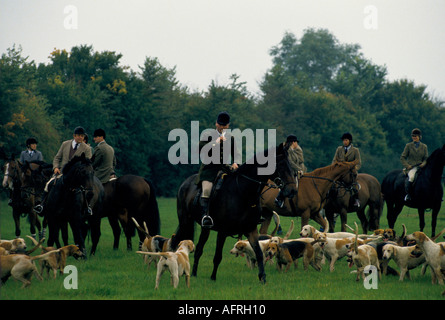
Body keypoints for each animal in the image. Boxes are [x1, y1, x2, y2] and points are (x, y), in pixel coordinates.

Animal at [172, 144, 296, 284]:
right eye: (281, 164)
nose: (293, 190)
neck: (243, 193)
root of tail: (185, 183)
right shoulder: (222, 232)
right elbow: (218, 256)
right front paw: (213, 278)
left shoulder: (251, 229)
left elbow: (259, 253)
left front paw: (262, 277)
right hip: (185, 221)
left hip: (205, 228)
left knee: (198, 249)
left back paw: (193, 273)